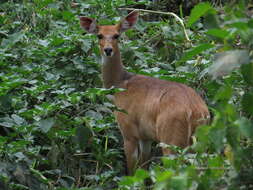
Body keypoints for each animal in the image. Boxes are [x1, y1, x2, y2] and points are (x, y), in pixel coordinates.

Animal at [79, 10, 210, 175]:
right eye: (99, 35)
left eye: (116, 35)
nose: (108, 50)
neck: (121, 86)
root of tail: (195, 111)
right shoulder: (145, 137)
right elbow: (144, 168)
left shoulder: (128, 129)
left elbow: (132, 170)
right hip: (199, 140)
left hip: (171, 138)